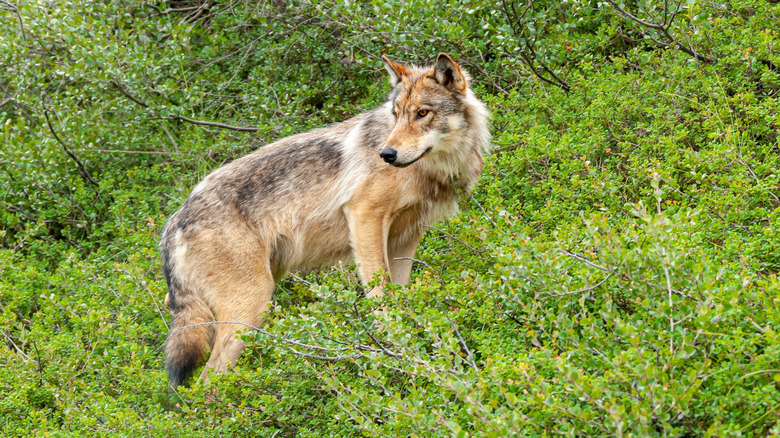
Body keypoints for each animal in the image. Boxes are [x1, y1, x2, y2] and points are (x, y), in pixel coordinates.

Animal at [160, 53, 491, 388]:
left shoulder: (406, 238)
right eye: (396, 115)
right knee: (207, 381)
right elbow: (381, 296)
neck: (432, 170)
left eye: (422, 113)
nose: (386, 153)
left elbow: (399, 296)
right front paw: (392, 350)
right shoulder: (364, 215)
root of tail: (174, 222)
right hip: (250, 308)